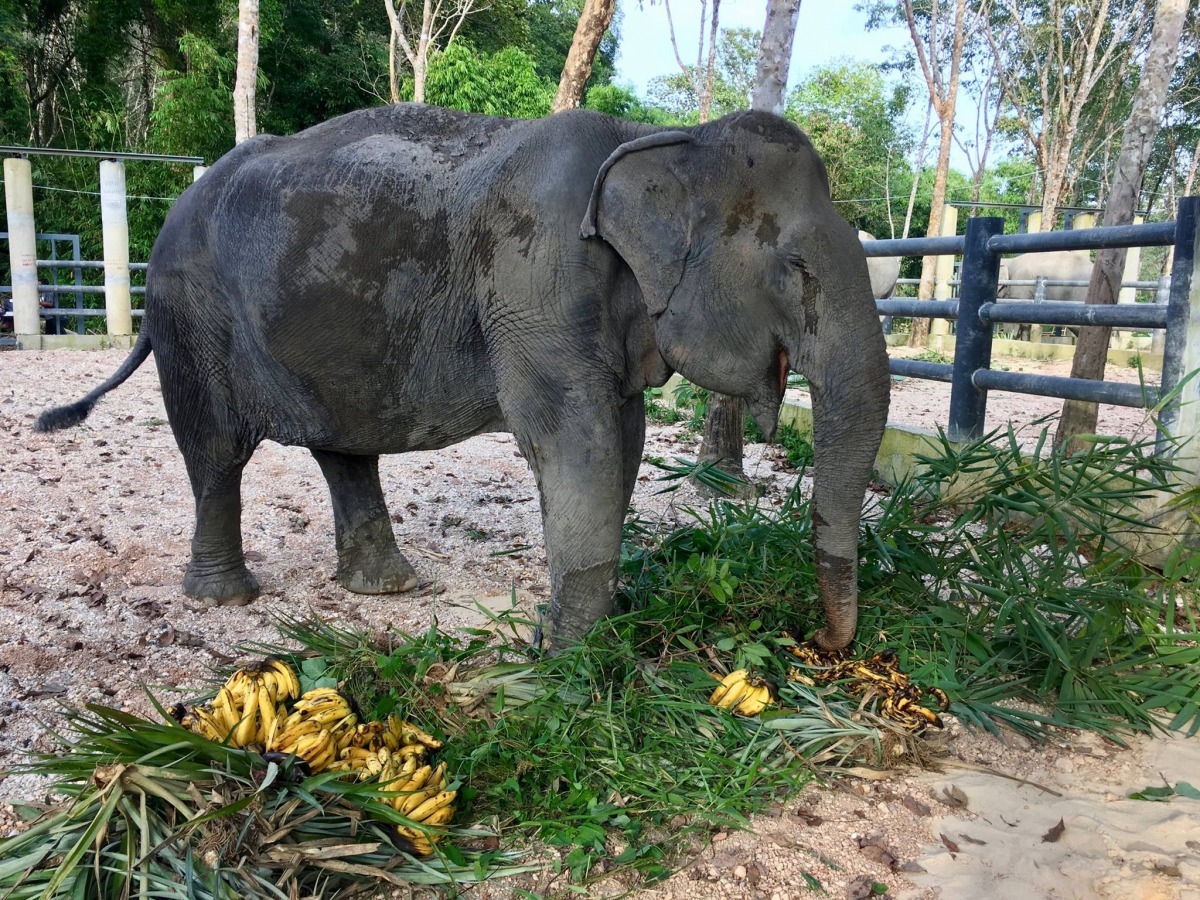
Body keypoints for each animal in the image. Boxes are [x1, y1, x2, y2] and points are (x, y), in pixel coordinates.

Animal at [36, 104, 890, 652]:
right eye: (795, 267)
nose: (821, 642)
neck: (656, 137)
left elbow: (623, 437)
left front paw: (583, 633)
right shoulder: (533, 276)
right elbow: (575, 438)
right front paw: (569, 660)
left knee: (343, 448)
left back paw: (390, 590)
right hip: (191, 308)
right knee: (217, 448)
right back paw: (228, 599)